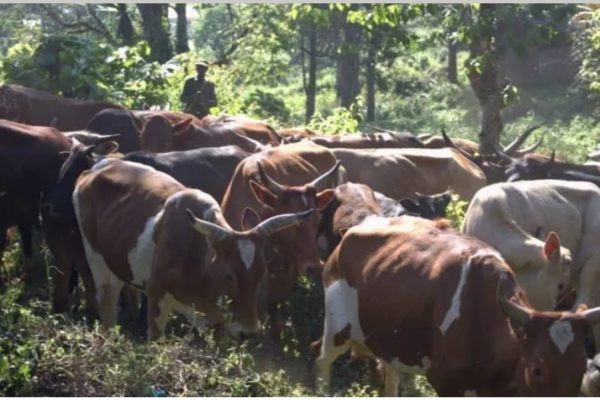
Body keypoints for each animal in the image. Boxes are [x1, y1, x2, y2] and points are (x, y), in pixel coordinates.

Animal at [72, 158, 312, 340]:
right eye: (229, 275)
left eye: (261, 273)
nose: (249, 332)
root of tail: (97, 167)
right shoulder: (156, 296)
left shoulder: (216, 321)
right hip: (95, 257)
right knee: (107, 301)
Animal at [219, 142, 342, 340]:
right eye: (290, 224)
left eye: (317, 220)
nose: (315, 267)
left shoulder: (288, 262)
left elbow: (276, 295)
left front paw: (276, 332)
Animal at [312, 216, 600, 394]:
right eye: (537, 370)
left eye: (581, 368)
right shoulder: (445, 382)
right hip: (337, 329)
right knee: (323, 363)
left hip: (389, 342)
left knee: (391, 376)